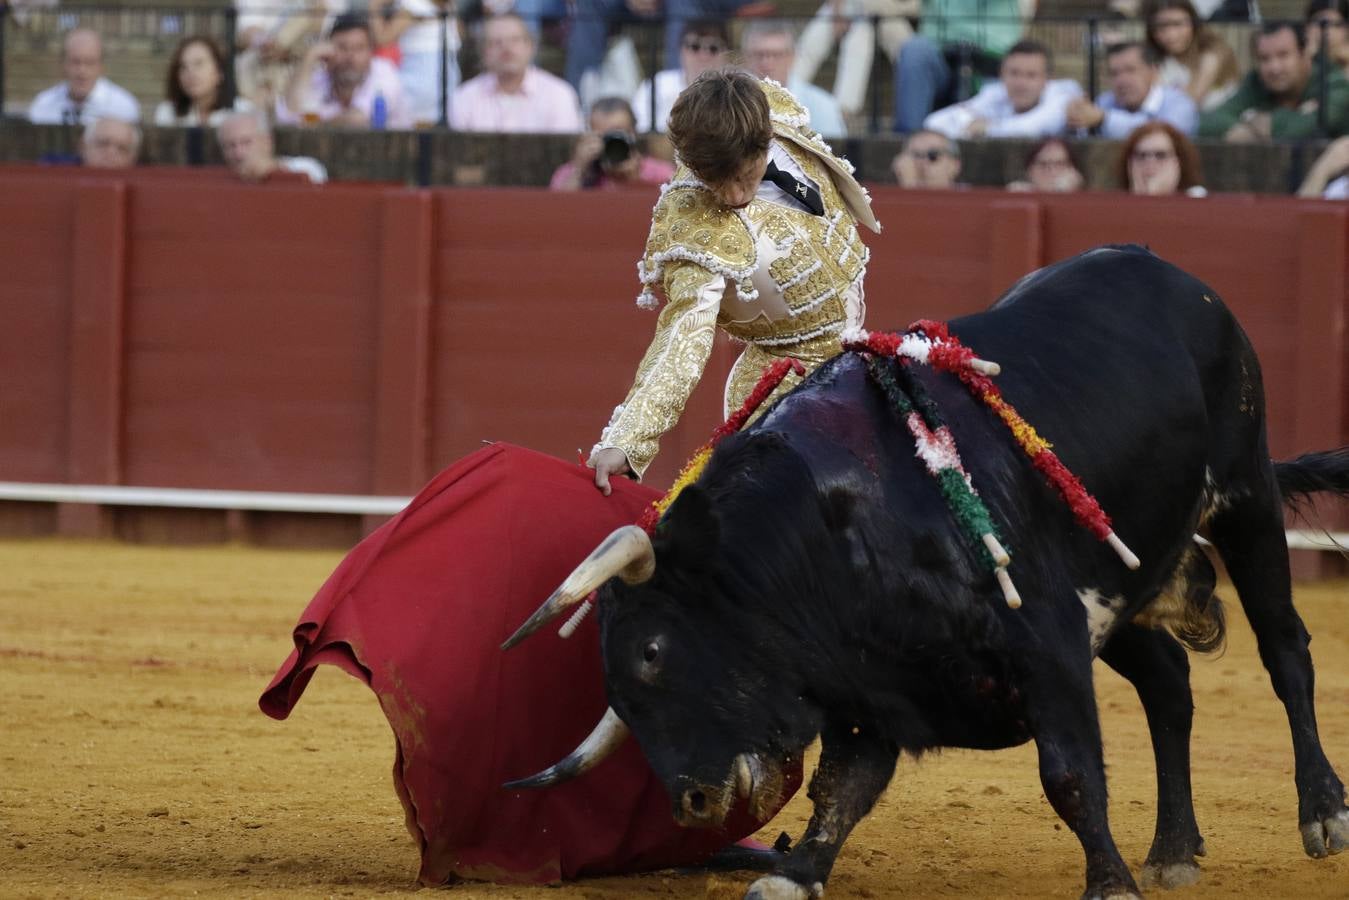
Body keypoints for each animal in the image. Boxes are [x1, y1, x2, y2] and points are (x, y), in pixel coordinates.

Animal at [507, 242, 1349, 895]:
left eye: (651, 651)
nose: (692, 802)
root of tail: (1167, 271)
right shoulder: (873, 680)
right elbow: (844, 786)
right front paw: (794, 872)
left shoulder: (1044, 641)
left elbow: (1069, 774)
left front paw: (1108, 885)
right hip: (1119, 579)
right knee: (1169, 680)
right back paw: (1173, 851)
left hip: (1245, 495)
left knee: (1284, 651)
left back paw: (1322, 815)